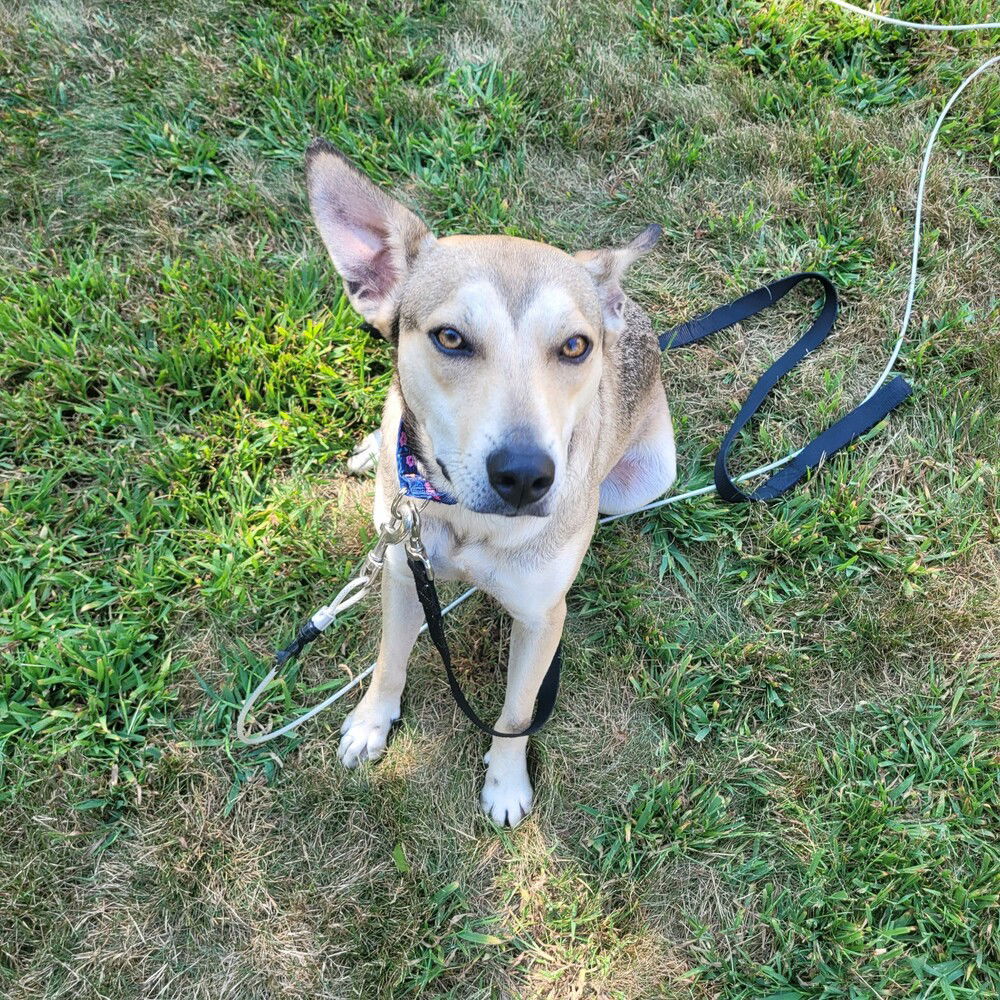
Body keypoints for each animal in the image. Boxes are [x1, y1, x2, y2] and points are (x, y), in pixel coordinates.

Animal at [308, 143, 676, 828]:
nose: (525, 476)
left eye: (575, 346)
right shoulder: (404, 569)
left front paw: (506, 785)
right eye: (451, 337)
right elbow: (388, 660)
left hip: (648, 477)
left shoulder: (541, 618)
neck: (465, 519)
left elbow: (516, 713)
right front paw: (372, 722)